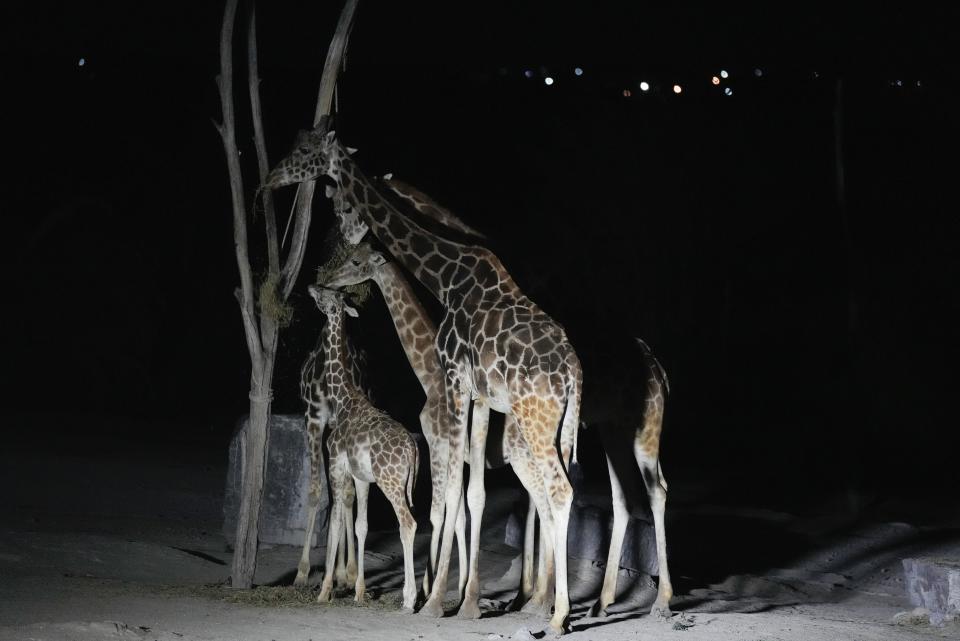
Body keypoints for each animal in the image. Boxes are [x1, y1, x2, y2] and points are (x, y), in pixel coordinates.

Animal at [310, 286, 418, 608]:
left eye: (327, 295)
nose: (311, 287)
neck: (342, 397)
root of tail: (413, 450)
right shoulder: (361, 477)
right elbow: (361, 525)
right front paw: (358, 590)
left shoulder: (335, 464)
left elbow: (334, 523)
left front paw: (325, 590)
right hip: (399, 483)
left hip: (390, 482)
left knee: (408, 523)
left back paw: (409, 598)